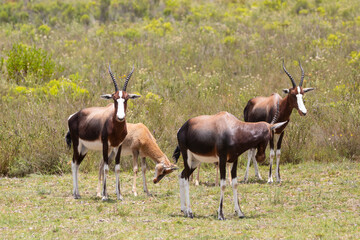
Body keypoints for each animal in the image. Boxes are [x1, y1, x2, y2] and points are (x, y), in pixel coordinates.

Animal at [65, 64, 140, 200]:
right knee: (73, 163)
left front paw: (119, 195)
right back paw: (75, 194)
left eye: (126, 99)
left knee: (77, 163)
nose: (120, 117)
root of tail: (73, 116)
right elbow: (105, 168)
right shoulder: (105, 145)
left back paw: (77, 193)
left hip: (84, 148)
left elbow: (117, 168)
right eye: (114, 98)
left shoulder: (118, 146)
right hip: (77, 145)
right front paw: (104, 196)